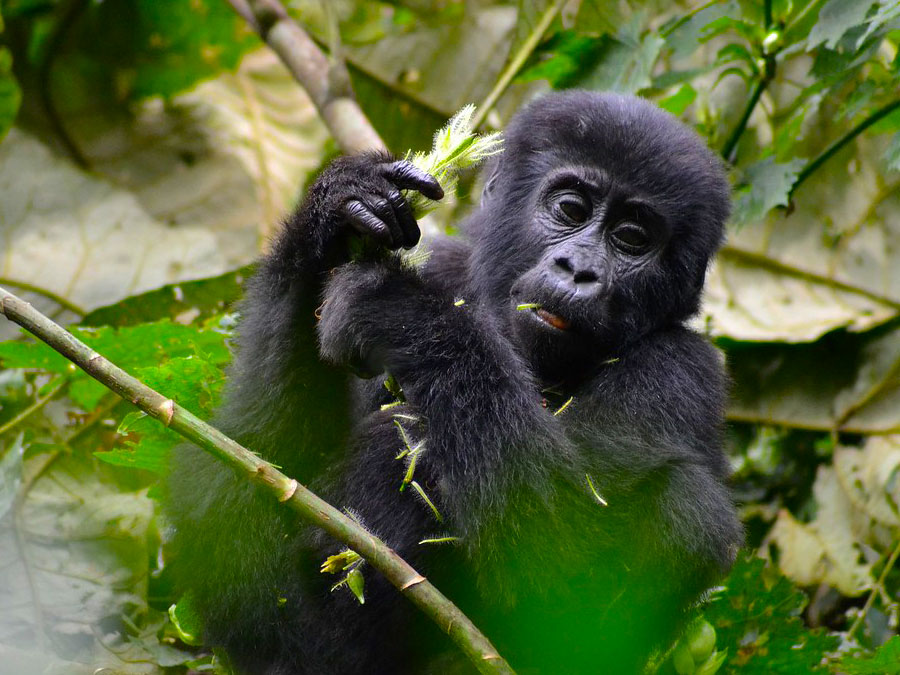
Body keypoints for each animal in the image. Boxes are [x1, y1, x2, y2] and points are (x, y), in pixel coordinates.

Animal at [165, 91, 740, 675]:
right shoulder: (443, 263)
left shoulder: (683, 369)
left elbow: (563, 573)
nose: (579, 270)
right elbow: (239, 462)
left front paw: (401, 311)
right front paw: (333, 213)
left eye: (630, 240)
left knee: (690, 506)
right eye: (571, 210)